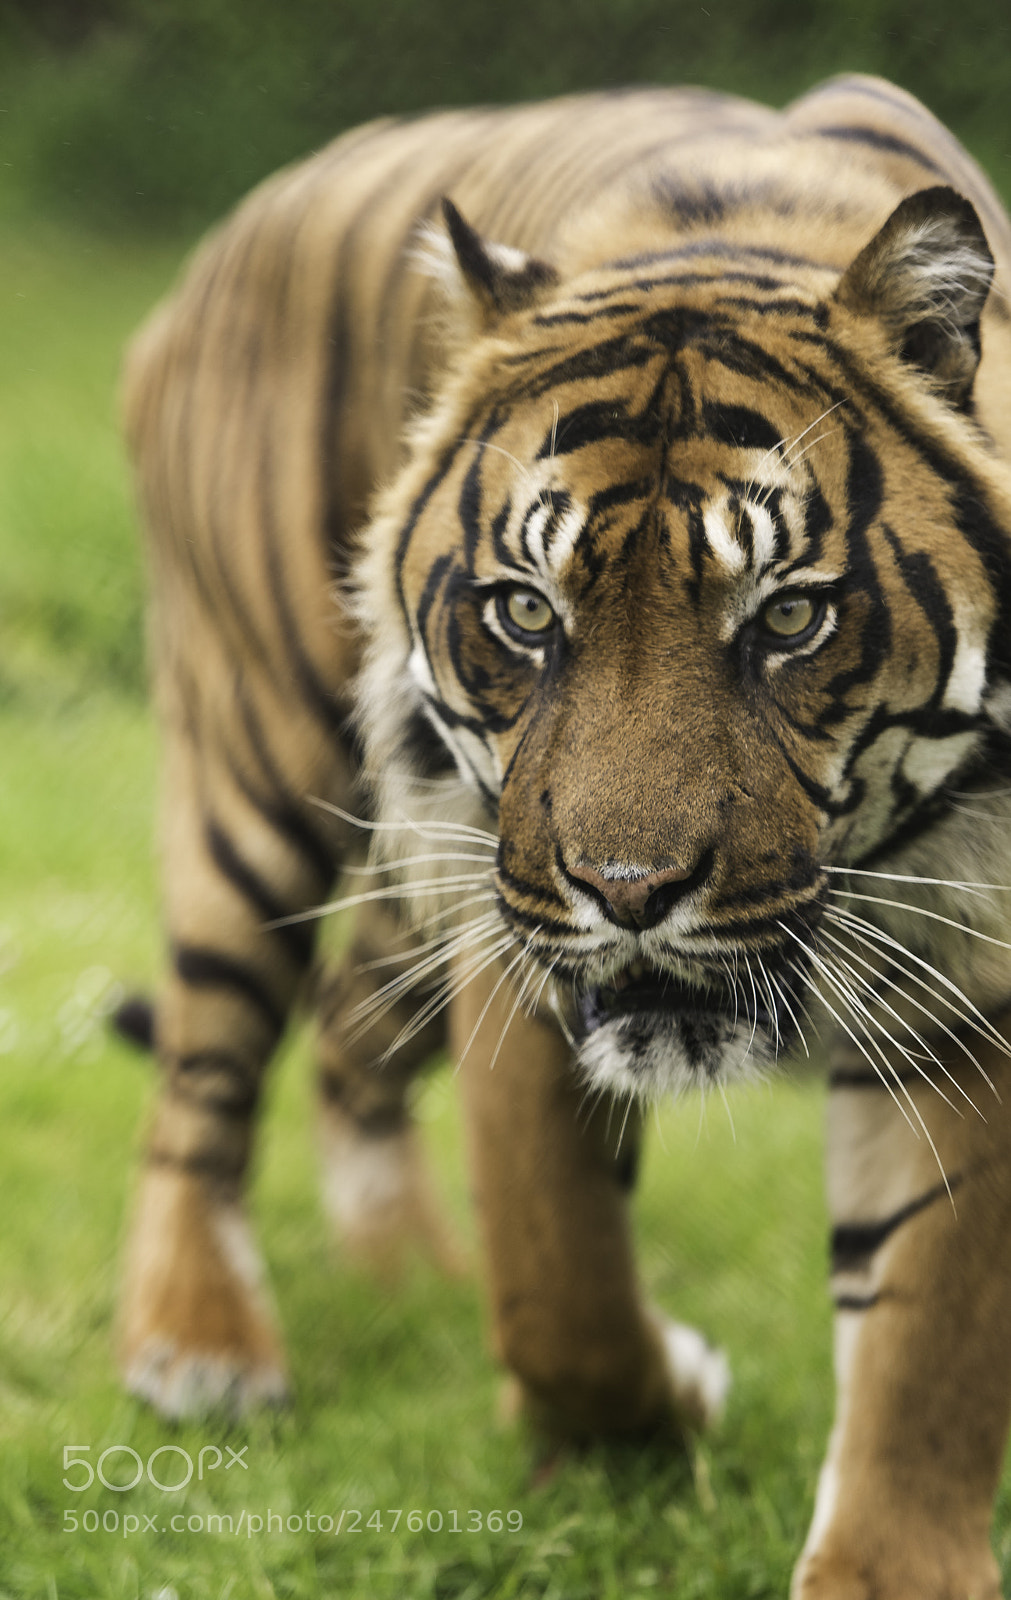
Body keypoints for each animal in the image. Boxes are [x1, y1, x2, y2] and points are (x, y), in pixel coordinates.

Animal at [118, 72, 1011, 1597]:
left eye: (789, 616)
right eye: (527, 612)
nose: (630, 890)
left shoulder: (972, 985)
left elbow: (927, 1348)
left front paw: (886, 1569)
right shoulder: (518, 944)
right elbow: (561, 1282)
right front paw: (658, 1408)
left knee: (346, 1045)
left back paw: (411, 1285)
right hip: (258, 767)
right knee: (200, 1073)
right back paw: (199, 1353)